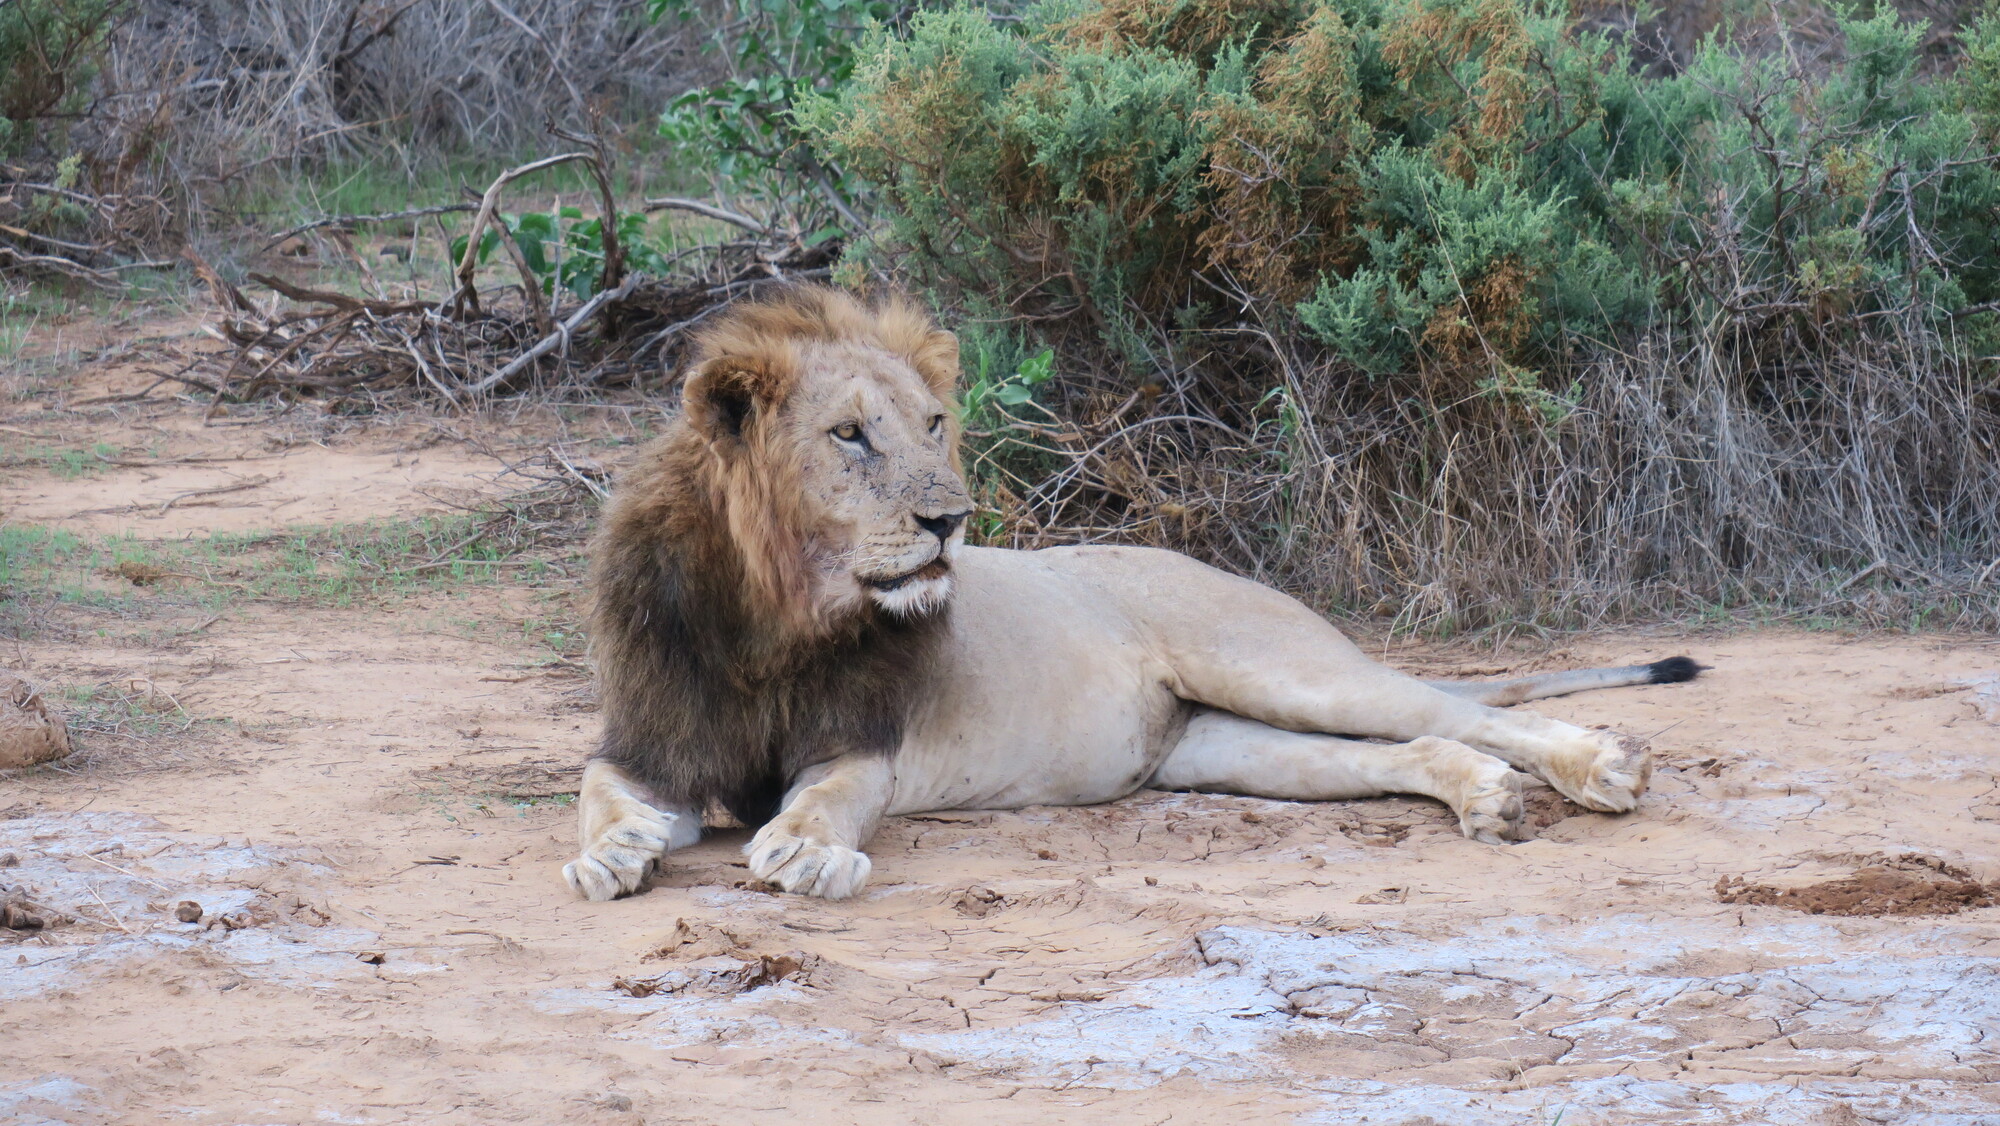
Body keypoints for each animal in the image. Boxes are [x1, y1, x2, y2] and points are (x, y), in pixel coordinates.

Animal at [563, 286, 1700, 901]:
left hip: (1280, 667)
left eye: (932, 425)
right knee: (1412, 747)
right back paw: (1487, 797)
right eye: (849, 435)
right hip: (1221, 749)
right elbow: (596, 791)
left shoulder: (863, 742)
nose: (951, 520)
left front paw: (803, 851)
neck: (771, 618)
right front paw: (609, 855)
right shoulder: (651, 743)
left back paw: (1600, 767)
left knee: (1461, 711)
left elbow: (826, 797)